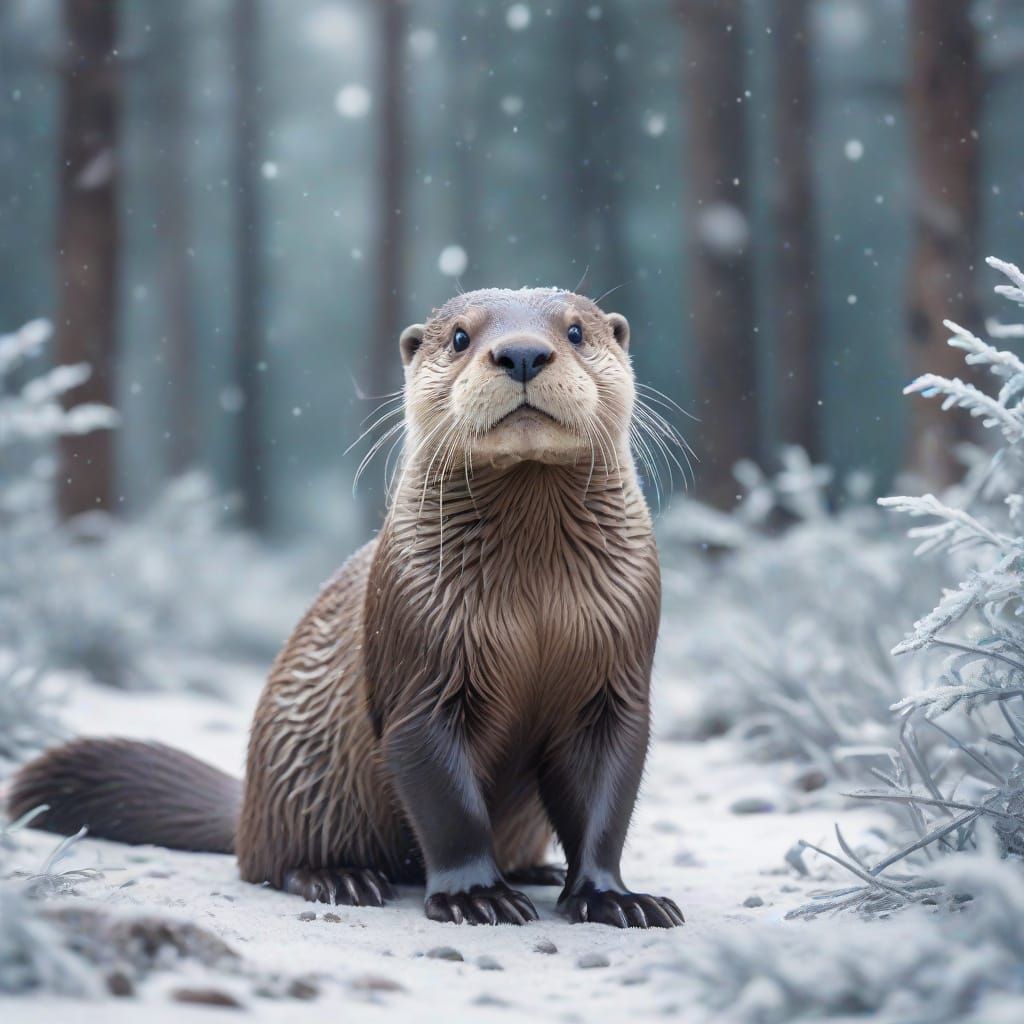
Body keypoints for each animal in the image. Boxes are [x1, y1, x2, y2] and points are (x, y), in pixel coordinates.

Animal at [9, 288, 684, 929]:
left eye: (576, 330)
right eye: (460, 336)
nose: (521, 352)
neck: (535, 608)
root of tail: (249, 810)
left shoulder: (615, 678)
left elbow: (606, 798)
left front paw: (615, 898)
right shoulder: (420, 663)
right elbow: (445, 799)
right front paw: (477, 896)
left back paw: (535, 870)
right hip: (297, 775)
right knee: (272, 863)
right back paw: (341, 877)